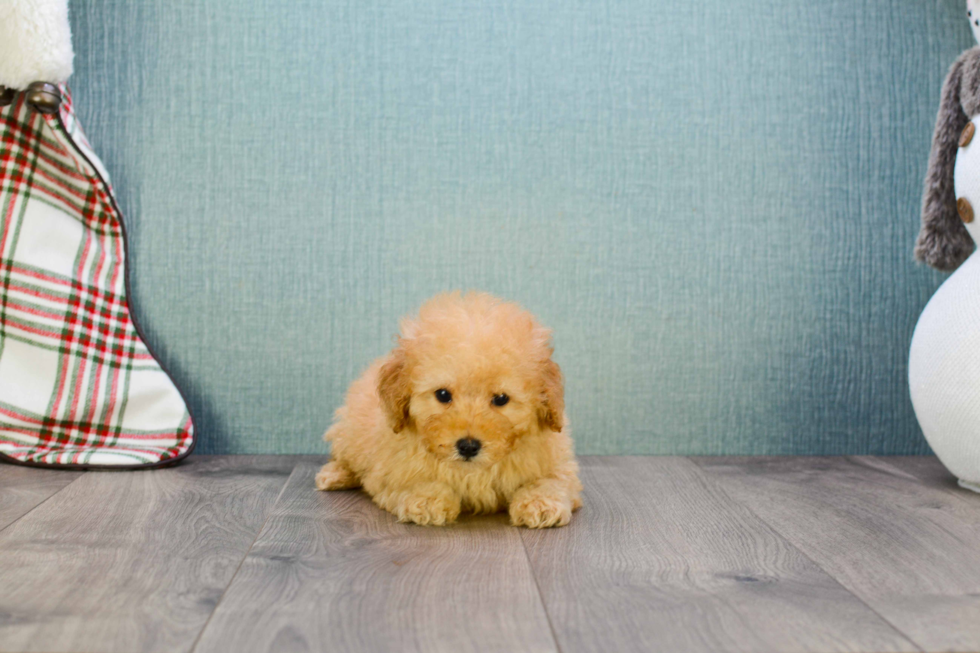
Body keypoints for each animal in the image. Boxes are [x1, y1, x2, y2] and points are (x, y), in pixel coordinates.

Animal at [316, 292, 580, 528]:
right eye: (443, 395)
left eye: (501, 399)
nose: (468, 447)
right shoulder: (387, 470)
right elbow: (409, 480)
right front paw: (426, 499)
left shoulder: (557, 462)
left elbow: (551, 480)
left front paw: (541, 503)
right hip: (349, 430)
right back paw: (335, 474)